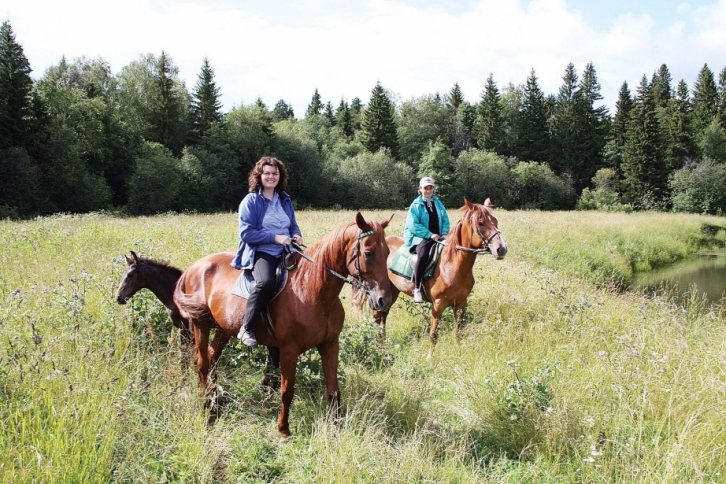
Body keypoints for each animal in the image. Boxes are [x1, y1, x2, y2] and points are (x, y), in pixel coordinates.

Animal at [175, 213, 392, 438]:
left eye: (387, 252)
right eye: (368, 253)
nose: (384, 300)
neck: (313, 289)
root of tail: (194, 267)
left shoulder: (330, 345)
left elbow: (333, 390)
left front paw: (337, 426)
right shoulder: (289, 349)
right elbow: (287, 391)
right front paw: (284, 430)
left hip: (223, 328)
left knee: (212, 356)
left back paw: (214, 399)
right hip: (201, 324)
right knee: (202, 362)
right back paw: (206, 406)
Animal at [352, 197, 506, 356]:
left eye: (495, 221)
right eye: (481, 223)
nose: (501, 249)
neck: (452, 265)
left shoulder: (461, 303)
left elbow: (458, 331)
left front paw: (457, 350)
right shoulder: (438, 304)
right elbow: (433, 334)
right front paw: (430, 356)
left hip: (391, 293)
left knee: (383, 316)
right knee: (378, 317)